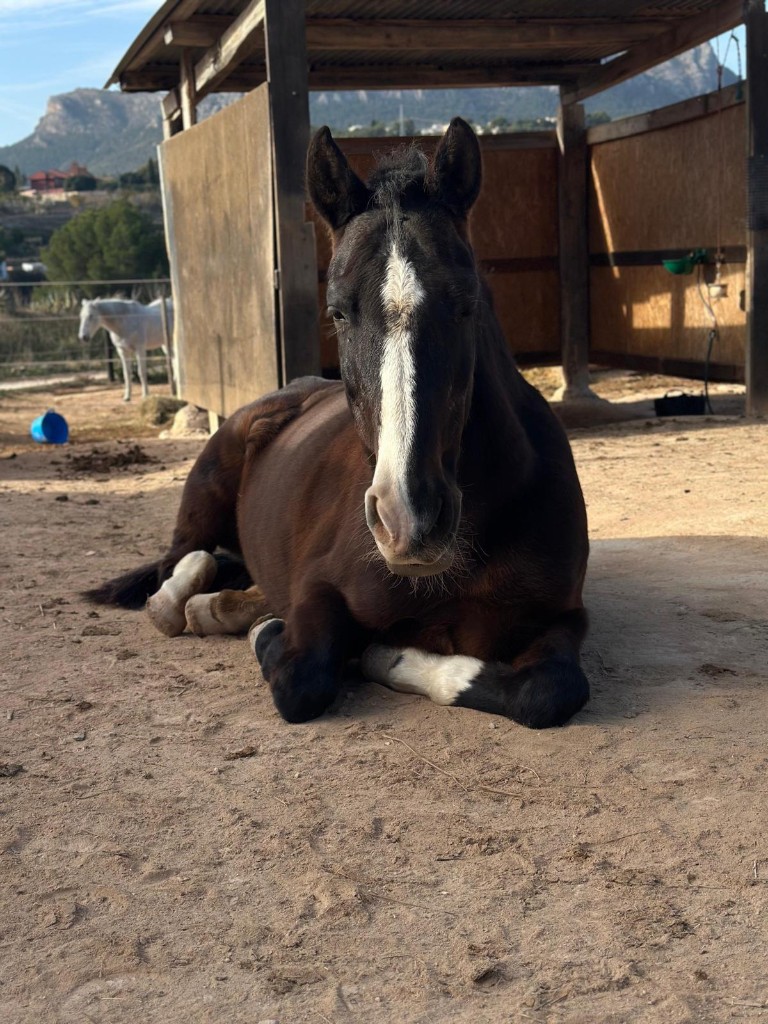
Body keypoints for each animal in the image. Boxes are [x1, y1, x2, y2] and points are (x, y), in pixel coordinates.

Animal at [87, 118, 591, 729]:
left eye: (467, 304)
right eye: (337, 311)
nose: (408, 519)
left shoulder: (564, 618)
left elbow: (549, 689)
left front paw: (392, 657)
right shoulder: (319, 592)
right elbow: (301, 679)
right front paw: (283, 636)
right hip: (202, 503)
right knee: (175, 574)